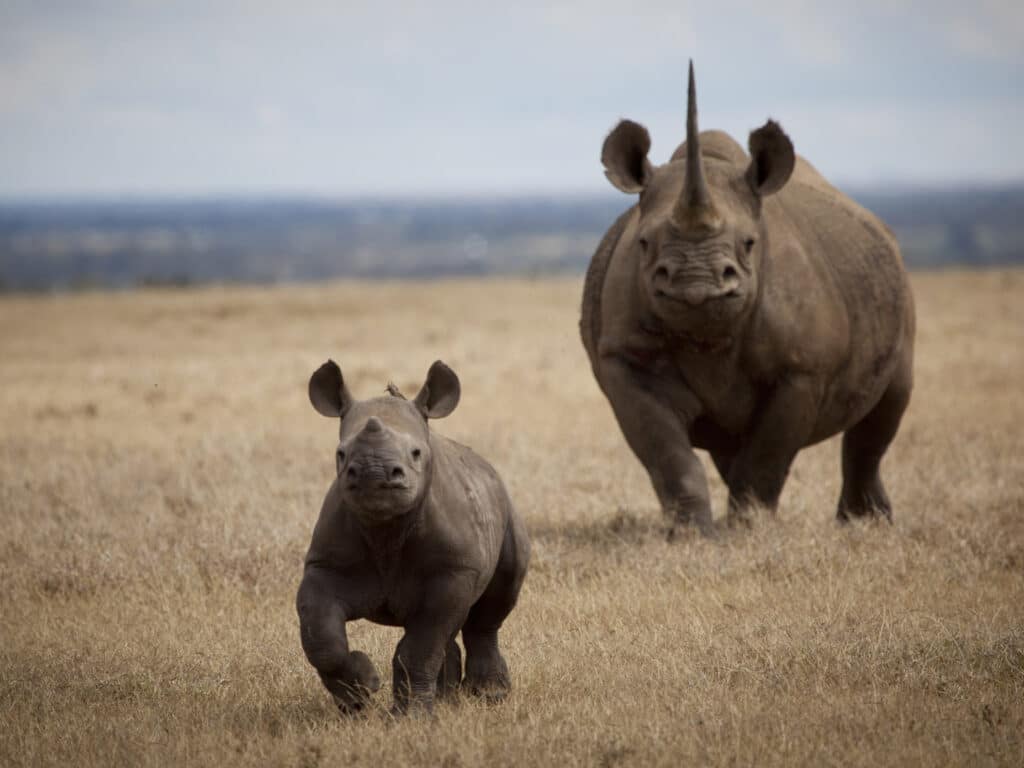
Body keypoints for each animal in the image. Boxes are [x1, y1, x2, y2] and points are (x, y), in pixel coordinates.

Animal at [296, 360, 530, 714]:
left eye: (416, 453)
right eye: (341, 453)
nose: (374, 474)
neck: (387, 529)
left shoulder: (453, 571)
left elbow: (421, 646)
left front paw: (410, 716)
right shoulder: (325, 565)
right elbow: (321, 636)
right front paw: (360, 695)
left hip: (507, 516)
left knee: (491, 608)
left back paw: (489, 695)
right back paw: (447, 698)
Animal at [580, 62, 915, 533]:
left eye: (750, 243)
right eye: (643, 244)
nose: (697, 284)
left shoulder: (802, 369)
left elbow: (769, 454)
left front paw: (749, 530)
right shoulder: (626, 359)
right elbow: (668, 454)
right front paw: (692, 534)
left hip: (897, 286)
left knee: (886, 407)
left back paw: (863, 524)